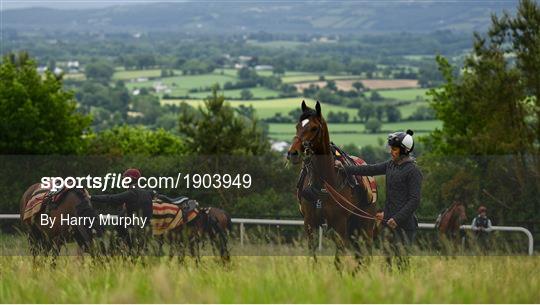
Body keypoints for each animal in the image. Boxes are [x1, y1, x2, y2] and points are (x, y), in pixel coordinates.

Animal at [286, 101, 376, 262]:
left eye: (314, 128)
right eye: (297, 126)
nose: (293, 153)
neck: (324, 183)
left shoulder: (339, 226)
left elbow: (338, 260)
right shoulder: (310, 224)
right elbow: (313, 256)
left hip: (365, 226)